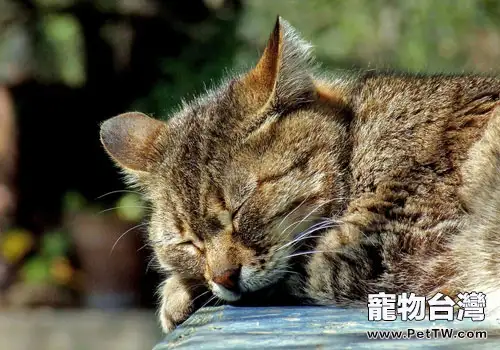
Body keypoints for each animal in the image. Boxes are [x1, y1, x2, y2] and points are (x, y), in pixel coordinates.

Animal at [99, 17, 500, 334]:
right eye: (187, 243)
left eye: (239, 210)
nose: (225, 277)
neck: (359, 143)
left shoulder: (378, 251)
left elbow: (289, 273)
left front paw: (176, 292)